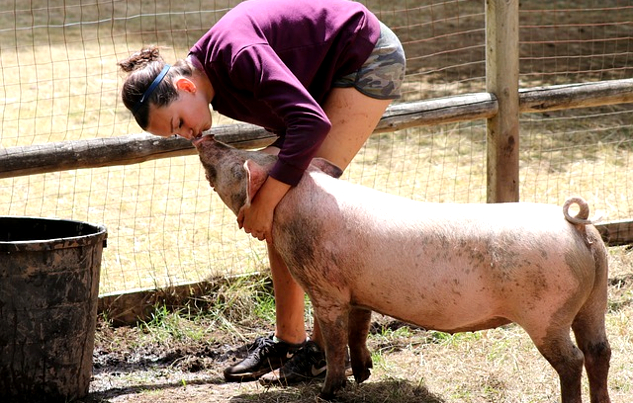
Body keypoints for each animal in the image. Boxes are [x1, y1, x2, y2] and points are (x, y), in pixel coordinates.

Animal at [194, 134, 612, 402]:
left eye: (238, 162)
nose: (207, 137)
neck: (289, 206)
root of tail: (577, 226)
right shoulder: (358, 292)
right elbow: (358, 331)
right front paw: (363, 375)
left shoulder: (327, 290)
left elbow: (334, 339)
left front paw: (329, 393)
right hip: (594, 301)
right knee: (599, 352)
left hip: (547, 313)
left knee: (573, 361)